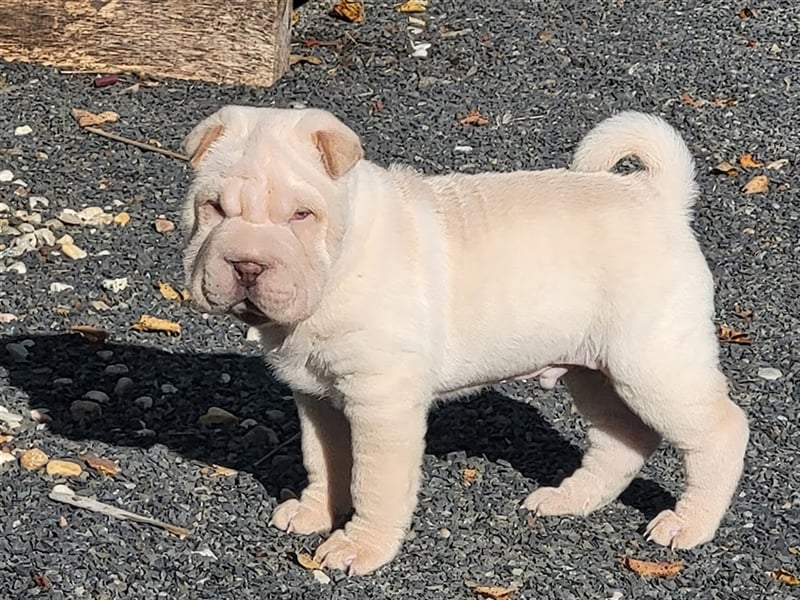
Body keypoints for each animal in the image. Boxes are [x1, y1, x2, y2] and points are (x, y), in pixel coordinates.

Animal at [181, 105, 752, 576]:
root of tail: (657, 199)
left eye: (301, 215)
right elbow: (325, 459)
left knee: (721, 431)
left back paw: (688, 524)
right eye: (215, 209)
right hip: (594, 370)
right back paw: (568, 500)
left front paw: (359, 548)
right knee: (622, 438)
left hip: (653, 363)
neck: (340, 264)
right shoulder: (317, 398)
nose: (247, 265)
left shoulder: (382, 403)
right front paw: (316, 511)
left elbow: (373, 481)